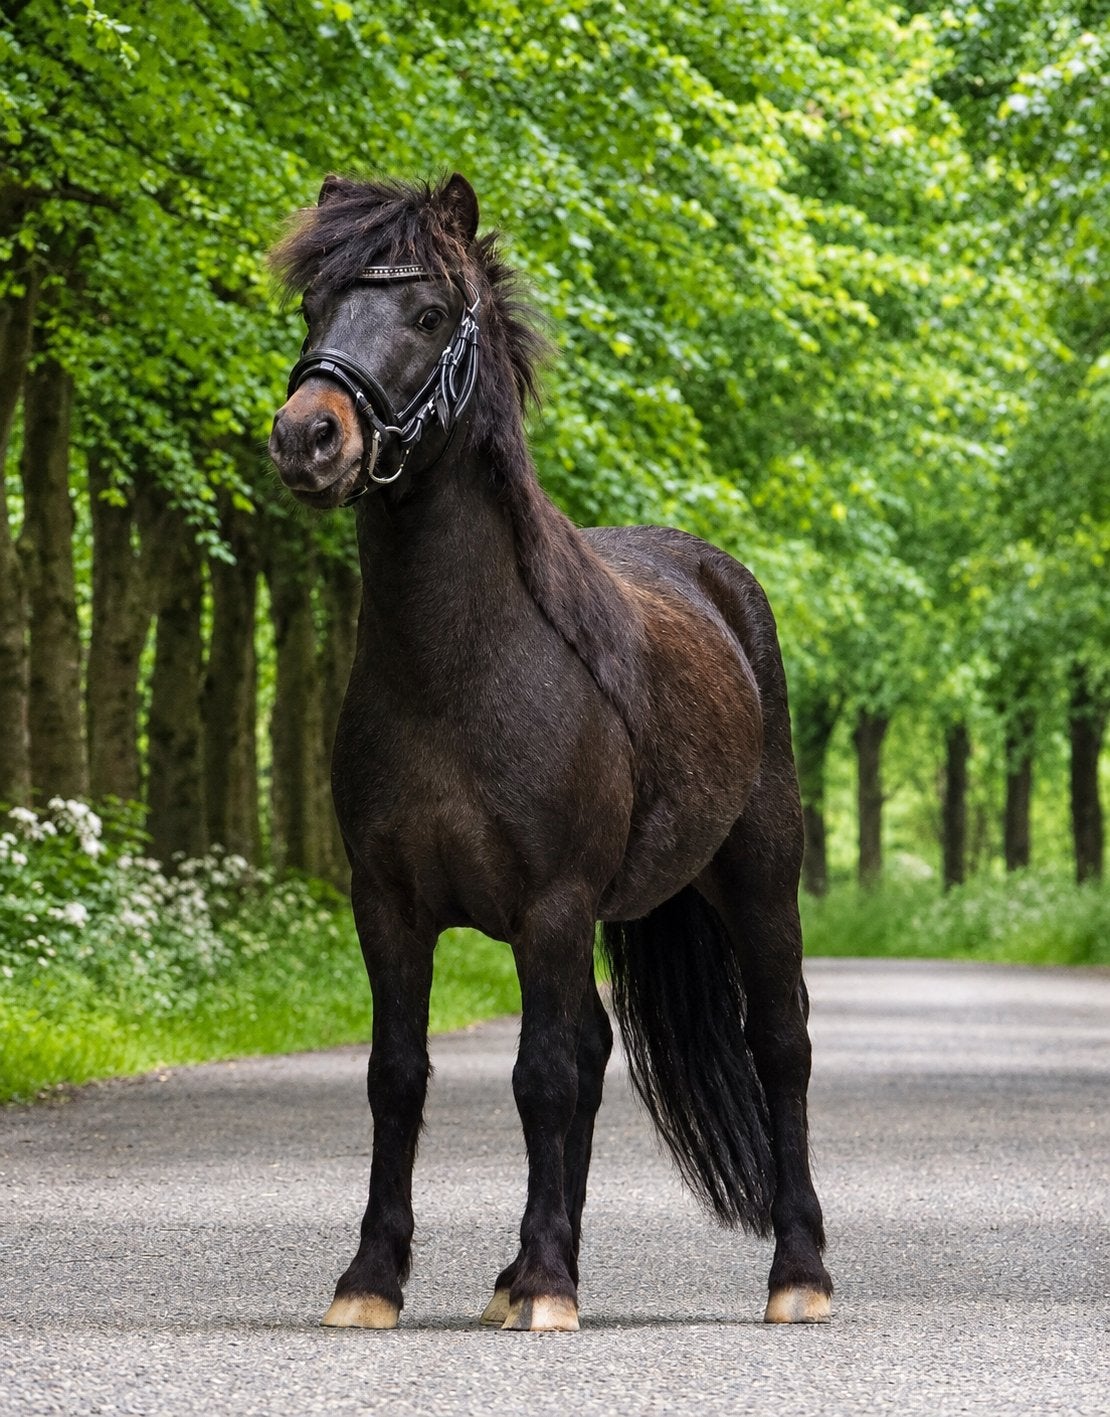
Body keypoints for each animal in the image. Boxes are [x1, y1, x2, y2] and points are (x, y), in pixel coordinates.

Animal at [267, 172, 832, 1332]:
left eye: (428, 313)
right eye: (315, 306)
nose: (308, 438)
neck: (458, 670)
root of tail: (722, 585)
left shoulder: (552, 905)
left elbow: (540, 1078)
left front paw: (543, 1283)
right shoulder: (387, 904)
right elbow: (399, 1075)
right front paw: (375, 1279)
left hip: (759, 881)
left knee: (779, 1044)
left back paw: (797, 1273)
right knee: (596, 1050)